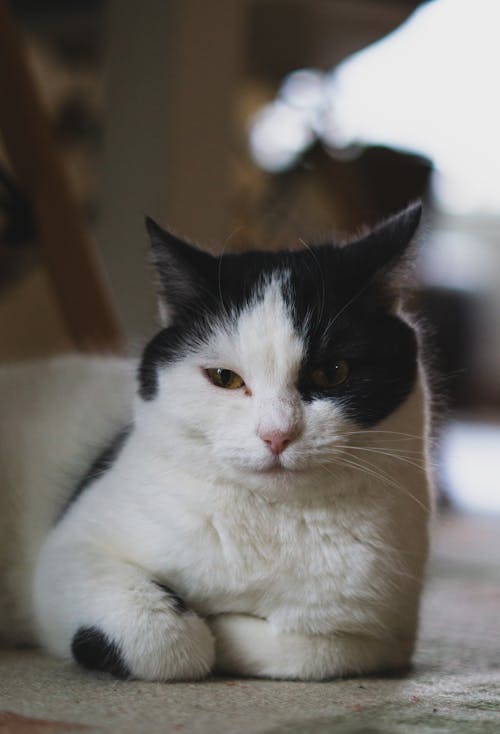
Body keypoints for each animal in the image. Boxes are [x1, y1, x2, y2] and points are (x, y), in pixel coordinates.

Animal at [0, 203, 430, 684]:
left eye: (333, 372)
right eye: (225, 378)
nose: (277, 433)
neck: (271, 523)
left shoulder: (384, 634)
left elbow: (315, 650)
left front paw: (227, 626)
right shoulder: (70, 552)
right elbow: (174, 642)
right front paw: (201, 624)